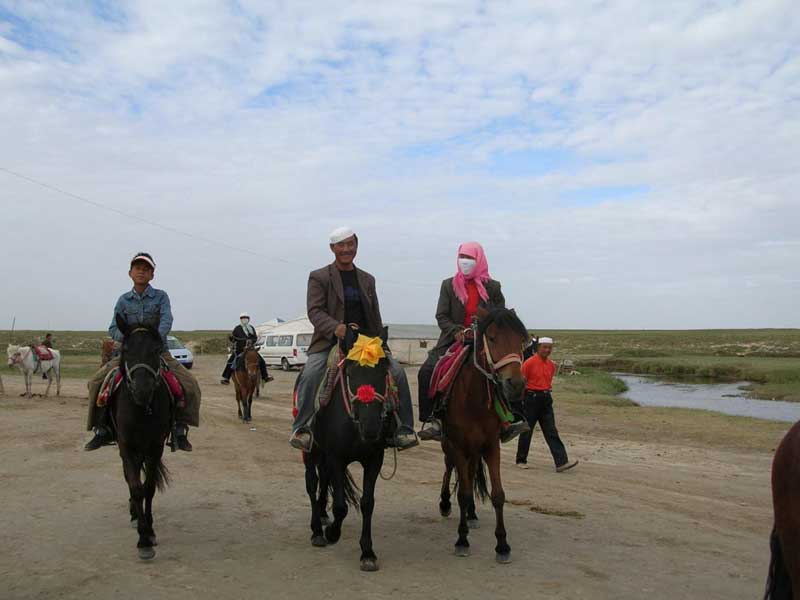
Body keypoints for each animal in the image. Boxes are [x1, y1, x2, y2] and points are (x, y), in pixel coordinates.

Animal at [304, 328, 396, 572]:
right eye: (352, 373)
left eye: (384, 371)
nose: (371, 426)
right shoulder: (337, 458)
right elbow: (340, 506)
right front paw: (332, 533)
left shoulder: (374, 459)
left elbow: (367, 503)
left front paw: (368, 553)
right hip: (312, 451)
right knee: (312, 483)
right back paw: (317, 531)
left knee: (323, 482)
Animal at [434, 308, 528, 564]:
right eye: (492, 338)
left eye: (521, 340)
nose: (516, 384)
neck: (474, 399)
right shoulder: (457, 445)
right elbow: (463, 494)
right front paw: (462, 540)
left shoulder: (491, 446)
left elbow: (498, 495)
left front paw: (502, 545)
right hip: (448, 444)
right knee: (449, 467)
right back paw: (444, 503)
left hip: (475, 450)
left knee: (469, 471)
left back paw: (472, 515)